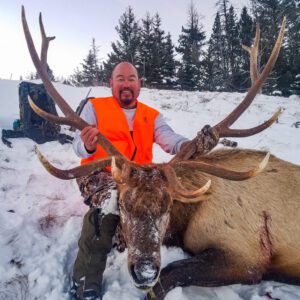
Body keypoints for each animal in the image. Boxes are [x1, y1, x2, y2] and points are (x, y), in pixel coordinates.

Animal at [18, 6, 300, 300]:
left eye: (167, 206)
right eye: (124, 206)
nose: (144, 271)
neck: (189, 216)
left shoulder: (247, 255)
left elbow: (166, 277)